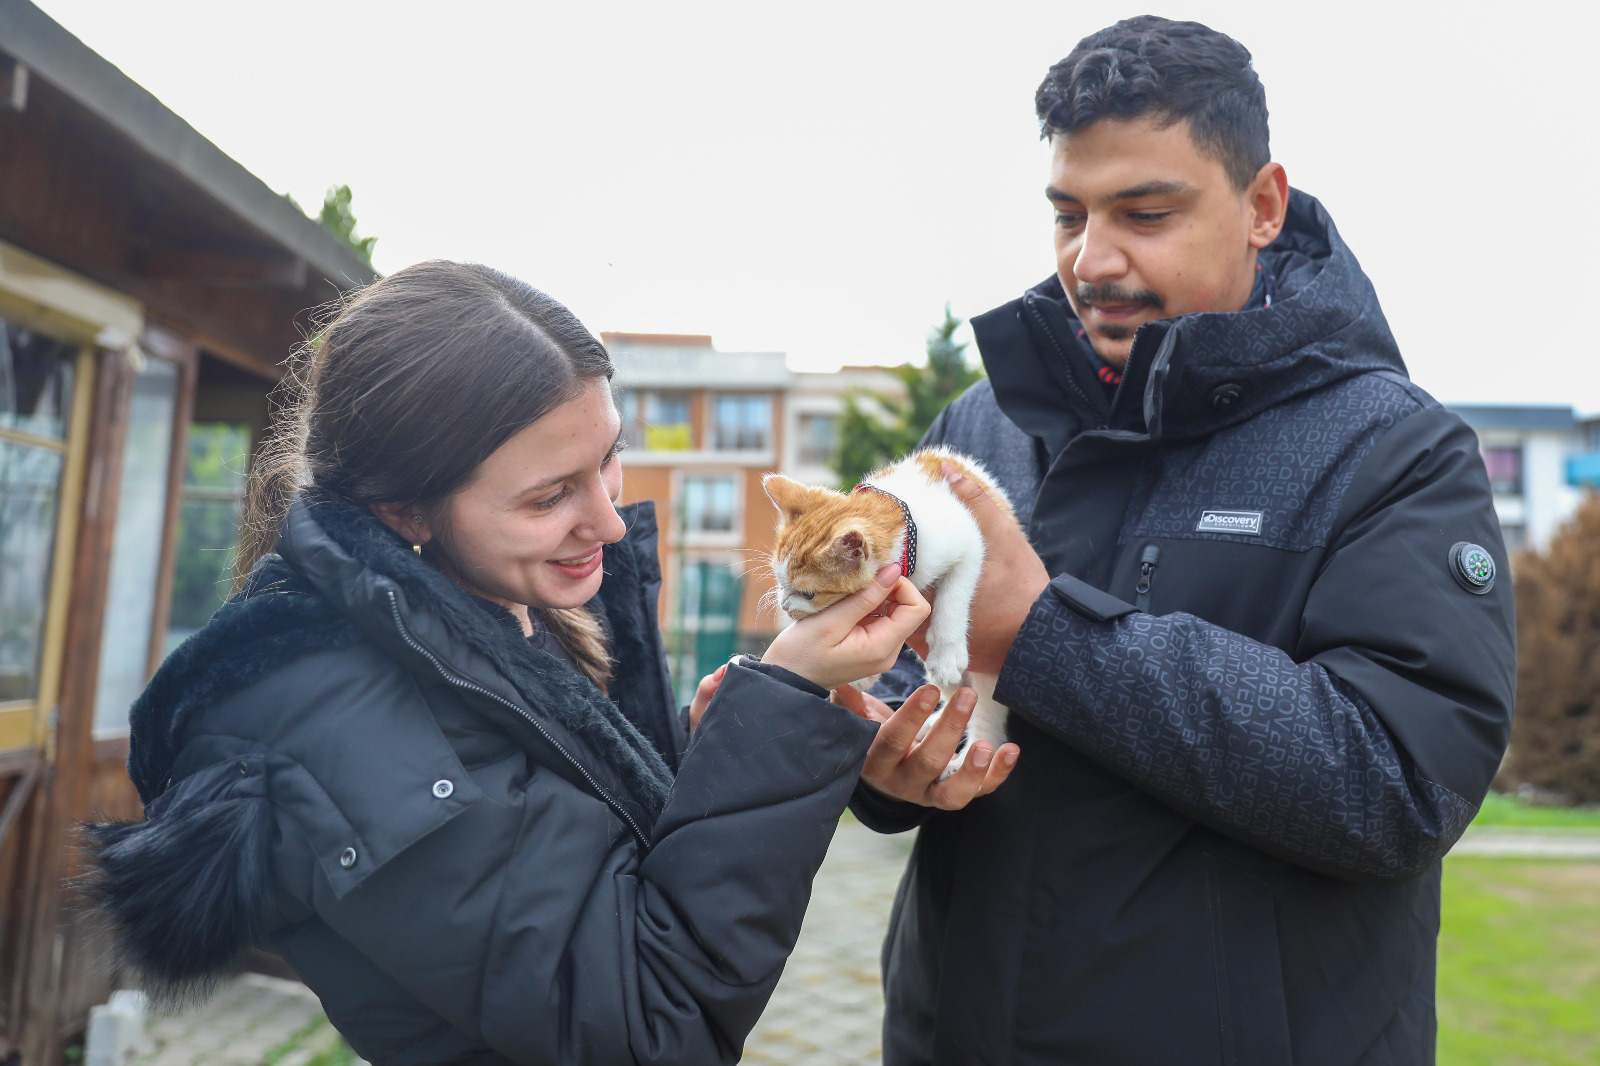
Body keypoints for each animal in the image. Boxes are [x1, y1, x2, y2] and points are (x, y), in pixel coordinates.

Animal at [758, 444, 1011, 777]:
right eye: (780, 582)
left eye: (808, 594)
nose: (785, 605)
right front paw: (864, 673)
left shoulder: (970, 542)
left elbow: (954, 594)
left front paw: (946, 651)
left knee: (985, 716)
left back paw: (971, 754)